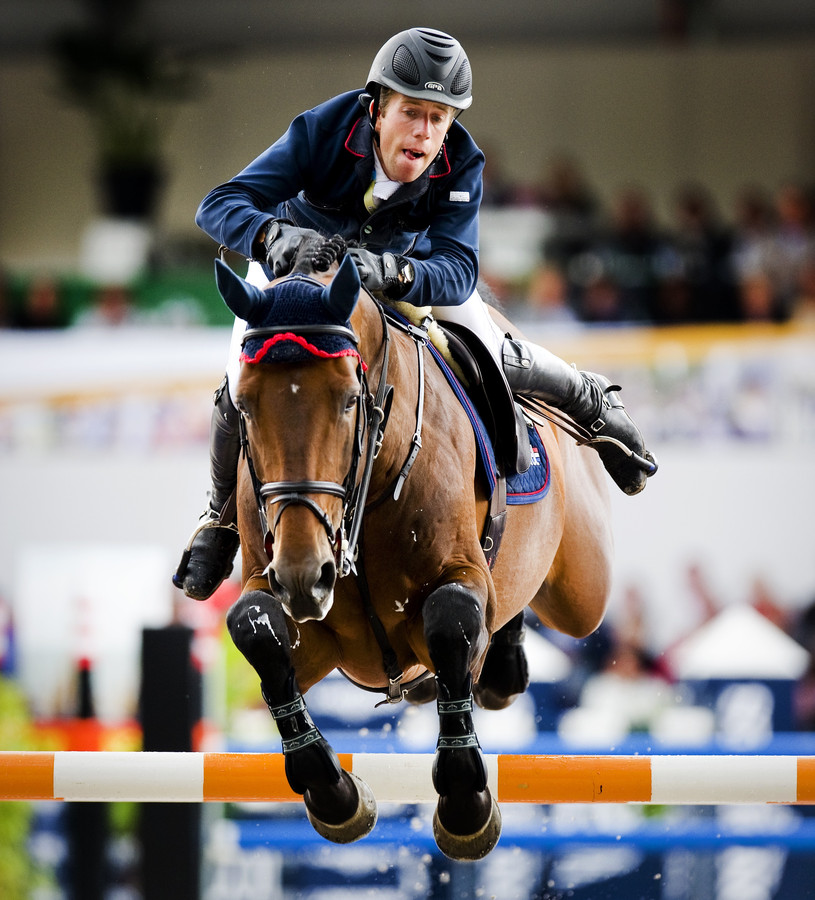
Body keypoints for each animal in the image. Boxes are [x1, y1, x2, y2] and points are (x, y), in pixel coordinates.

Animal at [217, 236, 612, 860]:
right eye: (246, 406)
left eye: (349, 398)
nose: (306, 575)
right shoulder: (305, 626)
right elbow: (254, 628)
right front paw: (334, 794)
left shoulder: (456, 578)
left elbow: (450, 618)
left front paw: (466, 806)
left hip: (583, 590)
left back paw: (608, 421)